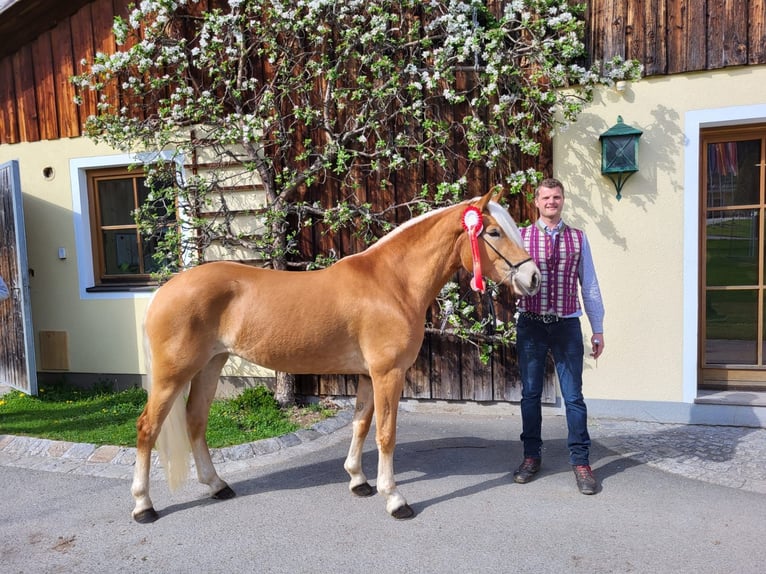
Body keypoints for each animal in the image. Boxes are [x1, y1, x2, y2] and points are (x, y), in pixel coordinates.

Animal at [130, 191, 540, 524]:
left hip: (210, 366)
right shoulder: (388, 373)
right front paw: (394, 499)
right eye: (493, 233)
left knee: (195, 420)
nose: (534, 277)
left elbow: (360, 424)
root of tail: (165, 290)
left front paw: (359, 481)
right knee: (148, 427)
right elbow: (386, 434)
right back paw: (143, 506)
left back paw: (217, 485)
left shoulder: (367, 375)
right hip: (173, 374)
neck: (392, 283)